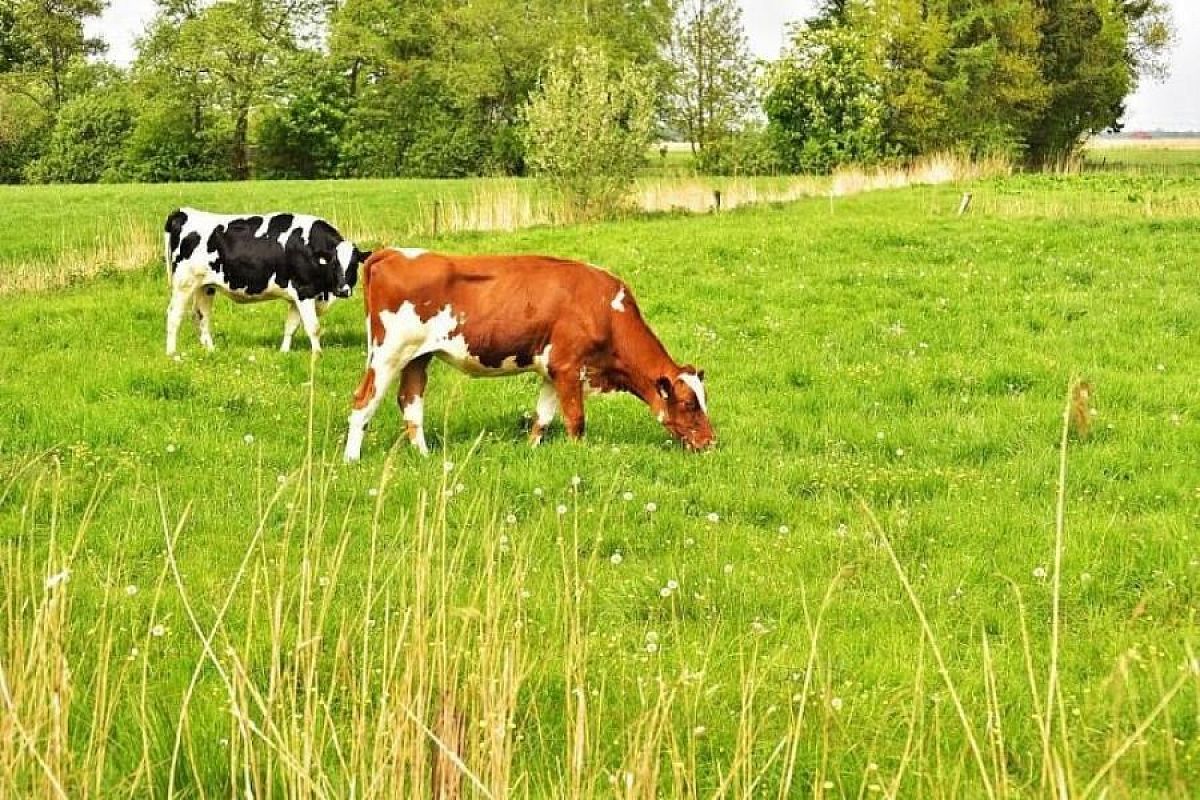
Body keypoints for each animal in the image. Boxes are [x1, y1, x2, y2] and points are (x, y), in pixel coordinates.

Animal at [163, 208, 369, 355]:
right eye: (334, 264)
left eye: (354, 264)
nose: (343, 290)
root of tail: (182, 212)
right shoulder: (304, 291)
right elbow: (313, 327)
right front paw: (317, 354)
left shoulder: (296, 296)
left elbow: (291, 326)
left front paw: (284, 352)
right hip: (183, 284)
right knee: (174, 315)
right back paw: (172, 354)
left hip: (205, 286)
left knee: (201, 315)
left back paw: (210, 350)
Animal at [340, 250, 710, 462]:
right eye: (689, 404)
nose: (710, 442)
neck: (604, 310)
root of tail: (391, 253)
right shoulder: (569, 367)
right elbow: (576, 421)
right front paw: (578, 458)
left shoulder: (550, 371)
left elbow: (542, 418)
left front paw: (531, 452)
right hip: (388, 353)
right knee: (364, 400)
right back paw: (352, 459)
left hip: (418, 356)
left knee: (410, 403)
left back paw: (425, 456)